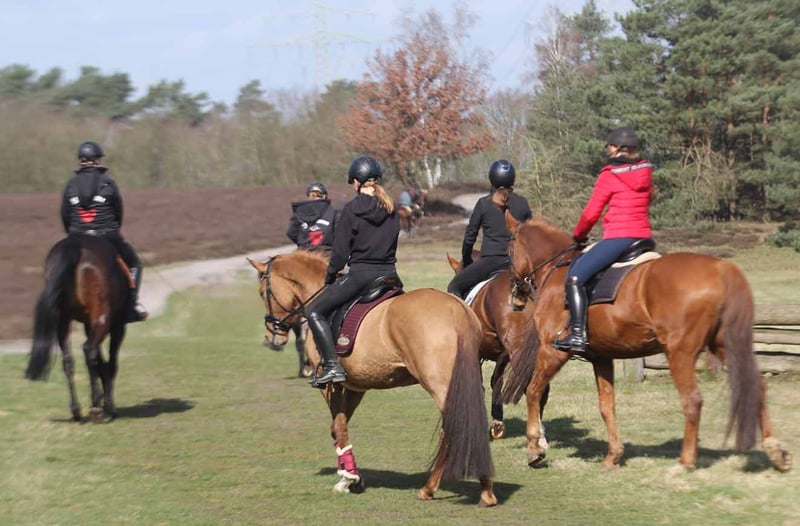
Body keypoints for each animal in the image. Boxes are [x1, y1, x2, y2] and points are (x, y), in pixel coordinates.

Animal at [25, 233, 131, 423]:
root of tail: (77, 244)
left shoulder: (90, 323)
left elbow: (101, 363)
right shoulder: (117, 325)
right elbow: (111, 363)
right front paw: (109, 406)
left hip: (63, 320)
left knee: (69, 361)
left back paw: (77, 410)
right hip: (103, 318)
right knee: (89, 350)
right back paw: (97, 406)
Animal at [247, 250, 497, 506]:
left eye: (262, 293)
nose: (271, 337)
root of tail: (458, 310)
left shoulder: (330, 386)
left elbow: (339, 426)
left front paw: (348, 478)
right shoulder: (355, 387)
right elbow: (337, 427)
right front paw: (351, 477)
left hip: (441, 385)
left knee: (453, 427)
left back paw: (430, 489)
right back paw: (486, 490)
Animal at [504, 214, 792, 472]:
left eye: (508, 251)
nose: (516, 296)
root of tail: (721, 267)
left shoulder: (552, 351)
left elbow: (533, 391)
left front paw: (535, 447)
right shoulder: (601, 357)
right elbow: (606, 405)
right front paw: (613, 456)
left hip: (680, 353)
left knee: (692, 401)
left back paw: (685, 462)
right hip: (725, 347)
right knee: (756, 386)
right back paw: (775, 451)